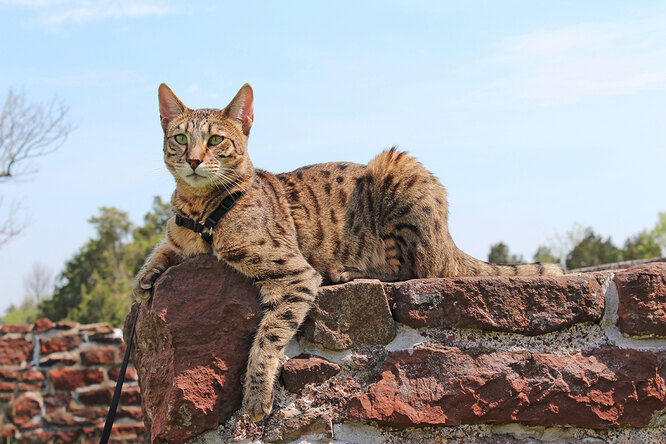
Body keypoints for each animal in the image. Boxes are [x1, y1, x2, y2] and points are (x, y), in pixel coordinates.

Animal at [134, 82, 560, 420]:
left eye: (216, 140)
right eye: (179, 138)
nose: (193, 160)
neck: (200, 211)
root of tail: (448, 237)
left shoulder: (295, 273)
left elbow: (268, 337)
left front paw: (255, 396)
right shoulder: (178, 235)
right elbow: (163, 247)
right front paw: (144, 278)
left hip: (395, 171)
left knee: (414, 270)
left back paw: (349, 272)